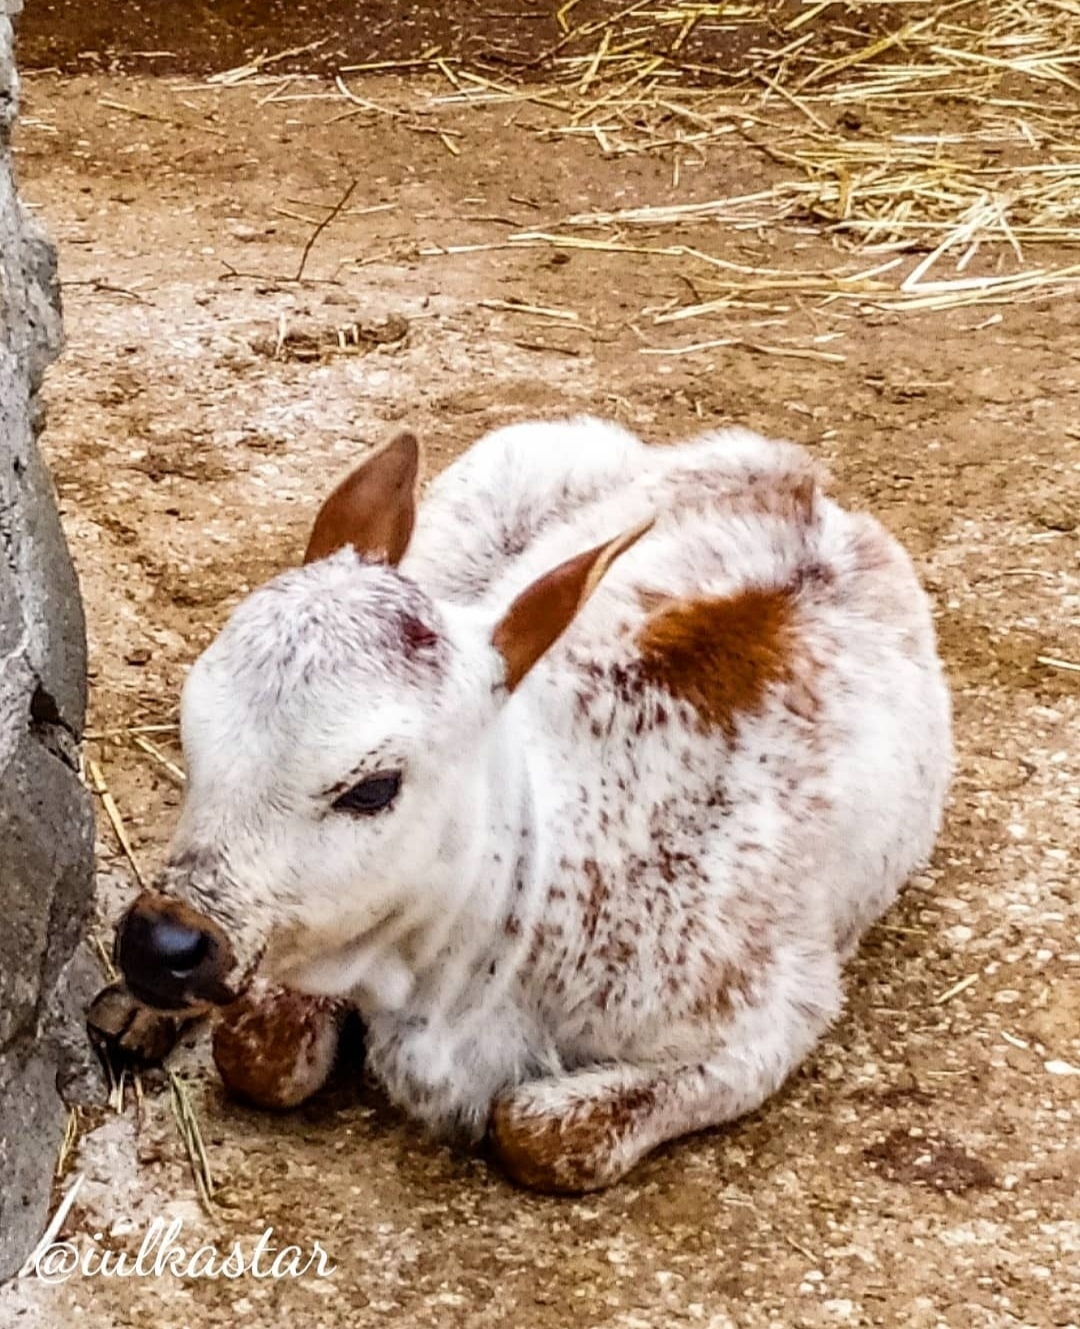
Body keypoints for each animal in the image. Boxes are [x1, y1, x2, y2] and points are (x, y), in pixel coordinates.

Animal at [111, 419, 951, 1190]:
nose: (160, 943)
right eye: (194, 723)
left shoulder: (771, 1017)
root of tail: (801, 479)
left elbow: (536, 1130)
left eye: (373, 786)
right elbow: (259, 1049)